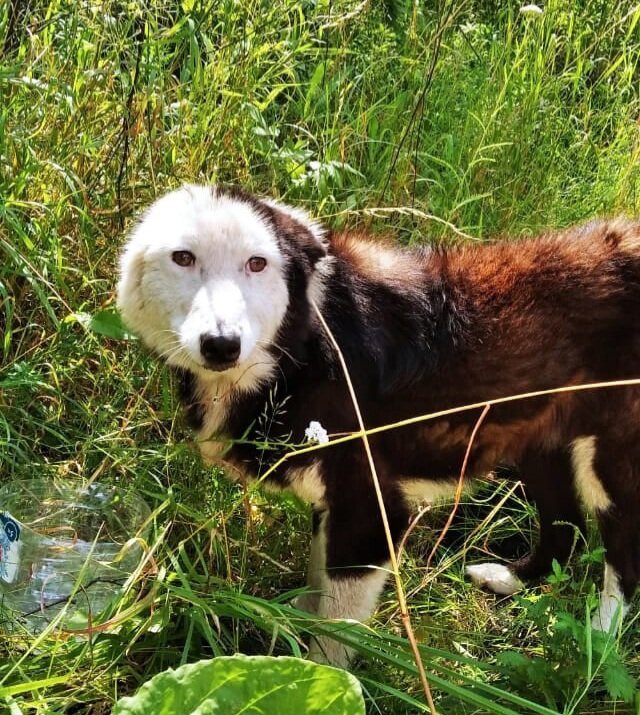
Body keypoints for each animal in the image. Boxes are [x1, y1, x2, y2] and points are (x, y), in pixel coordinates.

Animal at [117, 183, 640, 664]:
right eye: (183, 258)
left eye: (257, 263)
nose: (221, 345)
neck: (305, 347)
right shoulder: (332, 506)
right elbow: (314, 591)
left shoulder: (372, 513)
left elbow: (332, 642)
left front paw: (322, 680)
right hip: (539, 443)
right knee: (567, 528)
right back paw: (511, 579)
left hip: (612, 464)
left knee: (622, 561)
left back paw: (597, 646)